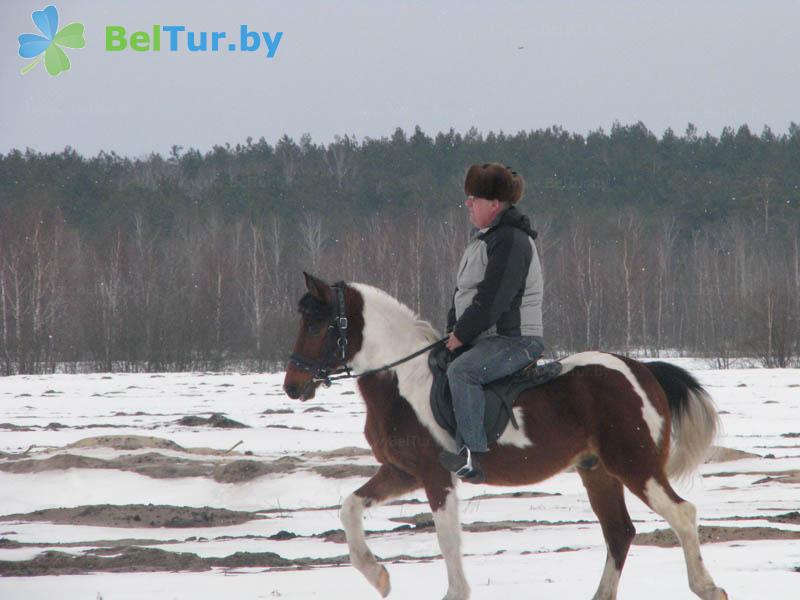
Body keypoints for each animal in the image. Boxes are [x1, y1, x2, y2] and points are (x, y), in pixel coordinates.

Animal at [284, 274, 728, 600]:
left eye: (318, 323)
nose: (293, 386)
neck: (402, 381)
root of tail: (641, 370)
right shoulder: (402, 472)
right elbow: (349, 508)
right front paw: (378, 576)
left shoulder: (436, 475)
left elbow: (448, 540)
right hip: (598, 472)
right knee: (619, 532)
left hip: (635, 465)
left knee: (682, 514)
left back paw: (709, 588)